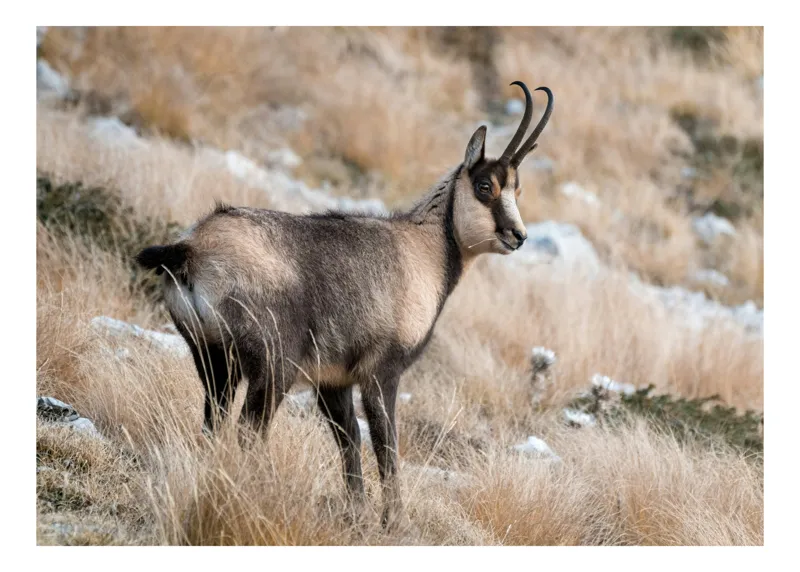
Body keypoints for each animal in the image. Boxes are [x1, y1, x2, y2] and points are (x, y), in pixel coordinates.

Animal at [136, 81, 554, 528]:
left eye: (516, 188)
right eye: (485, 186)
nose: (518, 236)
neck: (424, 251)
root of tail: (192, 248)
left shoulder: (333, 381)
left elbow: (349, 438)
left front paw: (358, 511)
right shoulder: (381, 372)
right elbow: (386, 444)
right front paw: (394, 520)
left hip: (212, 358)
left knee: (215, 423)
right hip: (272, 366)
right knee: (250, 431)